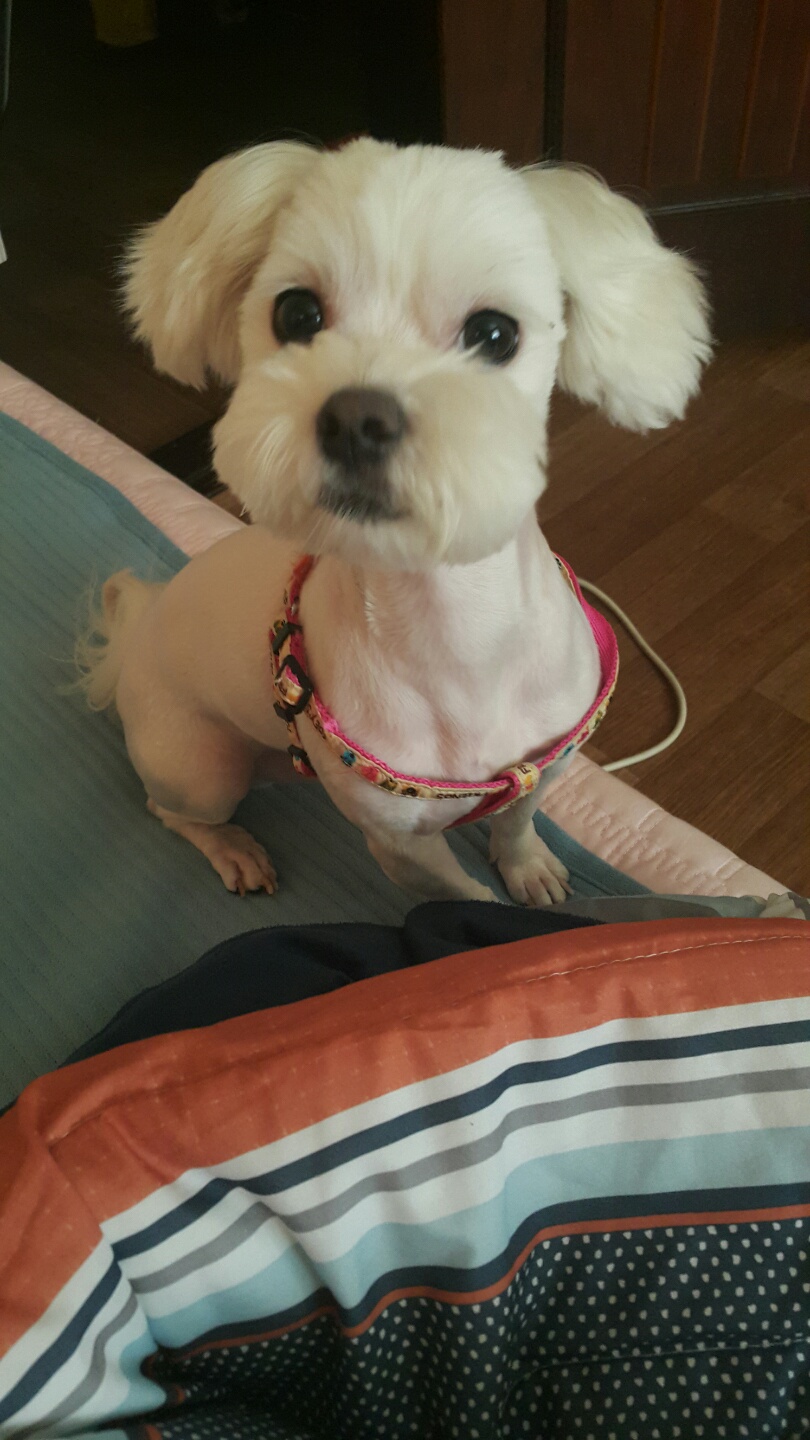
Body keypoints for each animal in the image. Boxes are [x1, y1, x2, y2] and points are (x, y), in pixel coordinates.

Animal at [80, 139, 710, 905]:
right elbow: (462, 900)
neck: (453, 629)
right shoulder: (399, 842)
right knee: (171, 810)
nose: (356, 420)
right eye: (296, 314)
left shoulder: (543, 767)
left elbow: (516, 821)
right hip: (201, 766)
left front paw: (528, 865)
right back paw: (233, 849)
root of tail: (135, 631)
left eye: (494, 333)